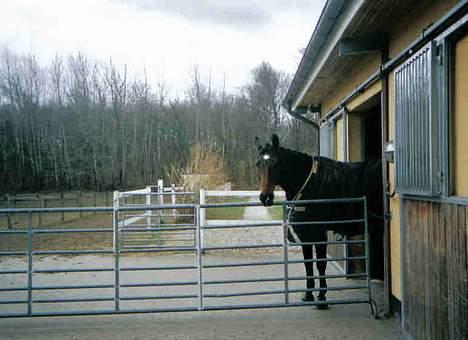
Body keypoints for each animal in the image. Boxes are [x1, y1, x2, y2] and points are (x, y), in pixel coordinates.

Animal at [256, 134, 384, 310]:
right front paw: (308, 295)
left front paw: (322, 298)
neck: (311, 184)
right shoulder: (306, 233)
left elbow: (320, 264)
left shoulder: (319, 233)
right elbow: (308, 264)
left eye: (275, 163)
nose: (265, 197)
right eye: (258, 164)